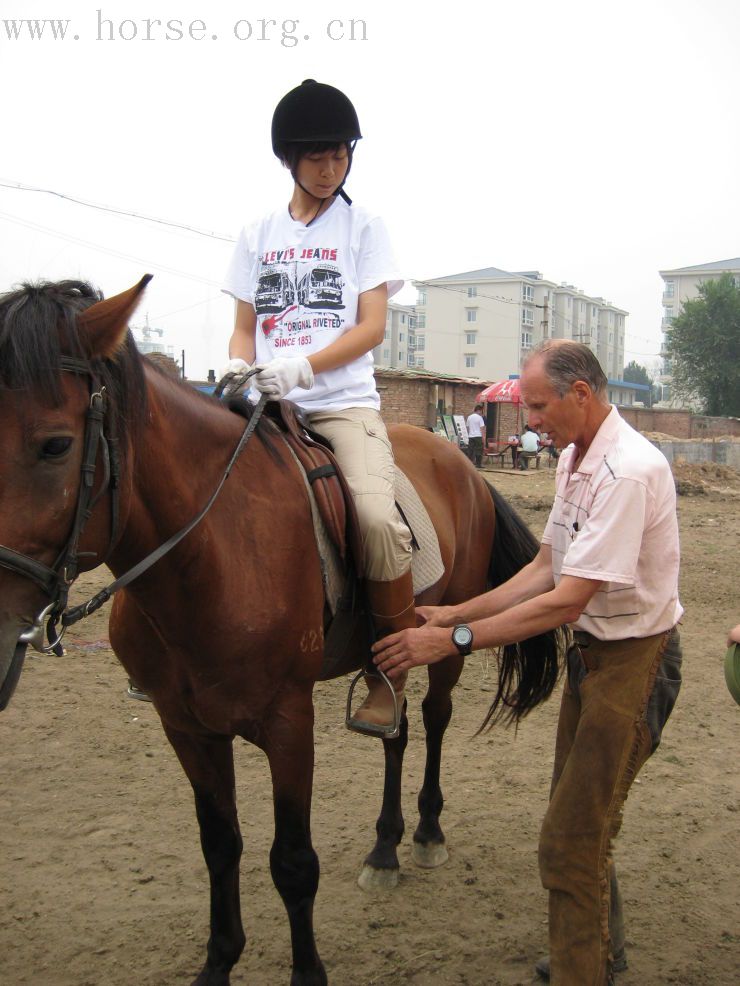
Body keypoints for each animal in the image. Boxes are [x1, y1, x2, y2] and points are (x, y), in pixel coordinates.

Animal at [0, 278, 560, 984]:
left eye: (55, 444)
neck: (213, 553)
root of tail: (462, 466)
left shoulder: (289, 725)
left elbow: (292, 862)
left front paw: (306, 971)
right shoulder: (187, 727)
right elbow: (220, 844)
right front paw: (218, 962)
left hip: (445, 639)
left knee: (433, 721)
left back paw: (426, 833)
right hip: (389, 651)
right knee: (396, 727)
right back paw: (384, 847)